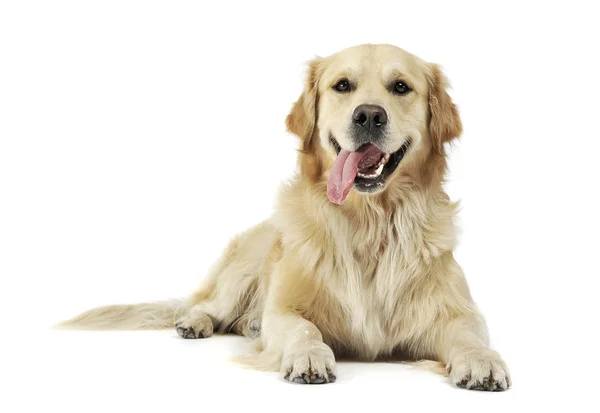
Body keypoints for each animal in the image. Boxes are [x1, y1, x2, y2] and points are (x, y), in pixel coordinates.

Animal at [59, 44, 510, 390]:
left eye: (401, 87)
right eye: (342, 85)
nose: (368, 115)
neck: (368, 224)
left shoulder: (457, 311)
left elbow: (470, 333)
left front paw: (482, 359)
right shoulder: (284, 308)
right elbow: (301, 327)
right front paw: (309, 356)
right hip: (243, 266)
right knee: (208, 304)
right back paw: (196, 321)